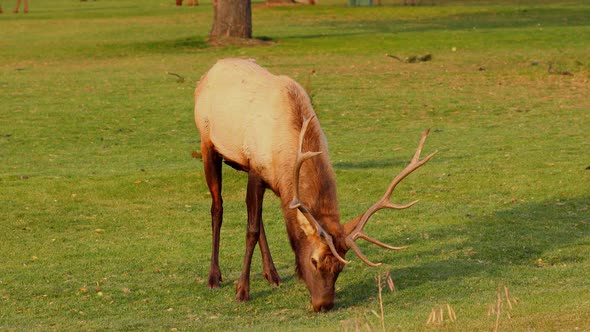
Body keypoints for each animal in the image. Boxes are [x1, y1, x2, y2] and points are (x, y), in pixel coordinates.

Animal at [197, 59, 438, 312]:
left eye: (341, 267)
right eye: (314, 260)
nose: (324, 304)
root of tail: (212, 69)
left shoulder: (271, 179)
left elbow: (258, 222)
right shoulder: (255, 168)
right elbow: (250, 230)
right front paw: (242, 291)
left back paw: (272, 275)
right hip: (208, 145)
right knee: (217, 207)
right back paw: (214, 277)